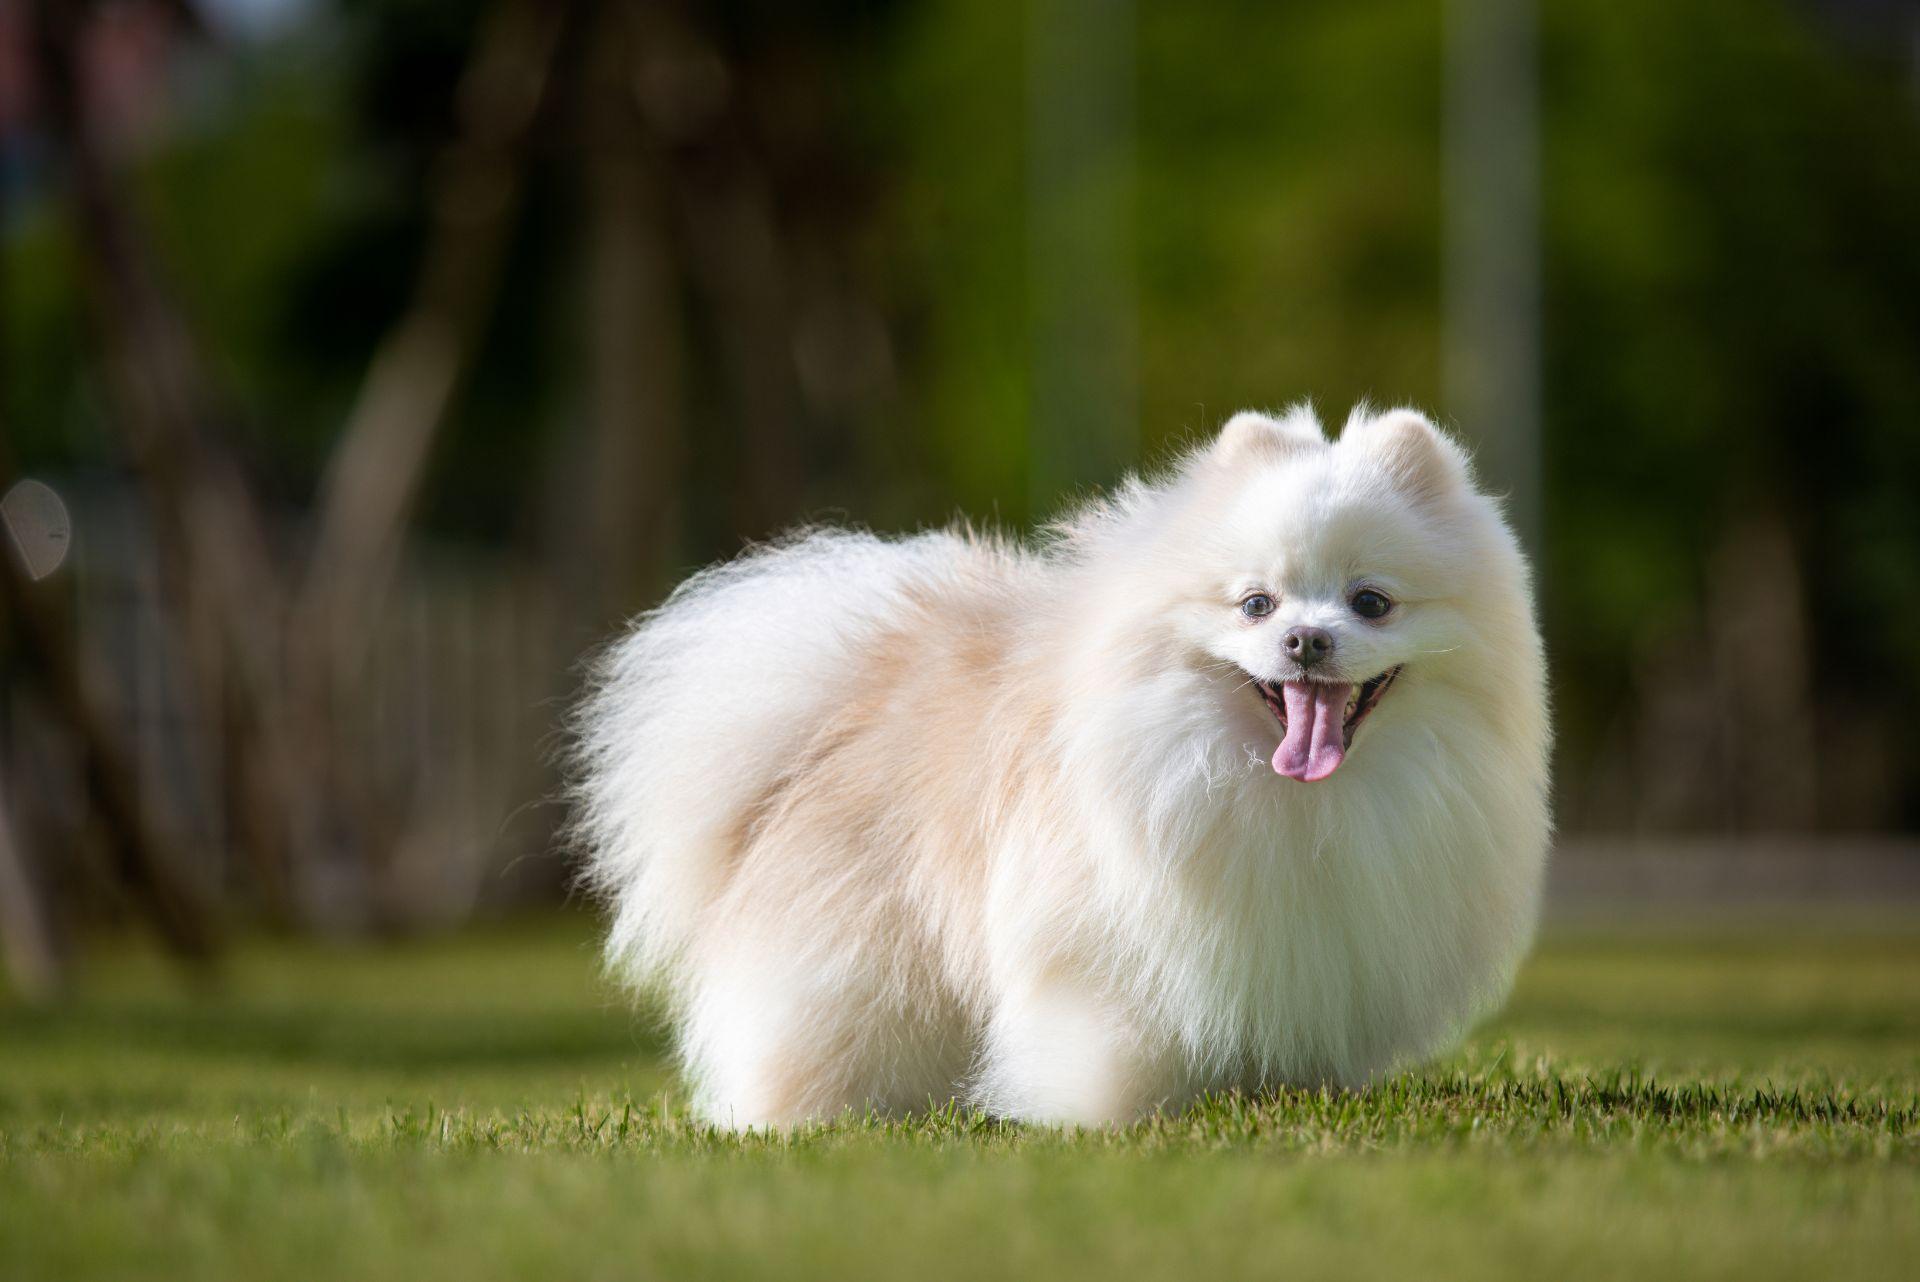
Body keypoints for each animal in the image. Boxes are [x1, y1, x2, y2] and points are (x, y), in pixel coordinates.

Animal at [568, 404, 1543, 1128]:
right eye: (1256, 604)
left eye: (1370, 602)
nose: (1306, 639)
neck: (1292, 798)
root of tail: (845, 703)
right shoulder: (1100, 940)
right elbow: (1114, 1040)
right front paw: (1105, 1118)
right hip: (858, 958)